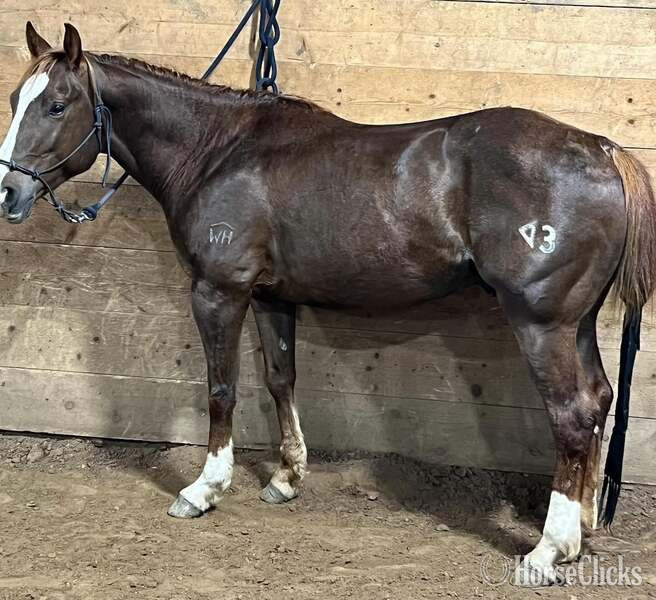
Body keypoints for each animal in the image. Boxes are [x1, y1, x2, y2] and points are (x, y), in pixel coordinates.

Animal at [1, 22, 654, 585]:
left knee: (571, 414)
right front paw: (287, 477)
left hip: (541, 322)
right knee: (598, 400)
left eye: (56, 104)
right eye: (15, 98)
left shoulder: (218, 292)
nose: (8, 191)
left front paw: (204, 489)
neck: (218, 151)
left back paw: (548, 549)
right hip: (575, 323)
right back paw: (581, 529)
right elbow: (279, 378)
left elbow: (221, 388)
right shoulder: (271, 298)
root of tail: (603, 149)